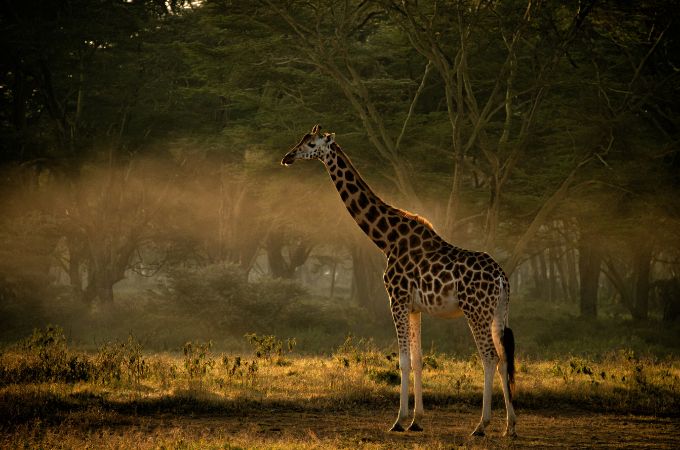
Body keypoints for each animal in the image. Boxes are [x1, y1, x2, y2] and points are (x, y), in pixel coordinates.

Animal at [281, 125, 517, 437]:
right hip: (498, 311)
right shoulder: (415, 307)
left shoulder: (397, 299)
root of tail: (502, 278)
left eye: (310, 143)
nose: (287, 157)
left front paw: (398, 421)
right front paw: (417, 420)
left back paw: (481, 425)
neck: (387, 239)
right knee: (504, 358)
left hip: (475, 311)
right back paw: (510, 426)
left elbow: (403, 360)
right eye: (301, 139)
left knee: (490, 357)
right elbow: (417, 359)